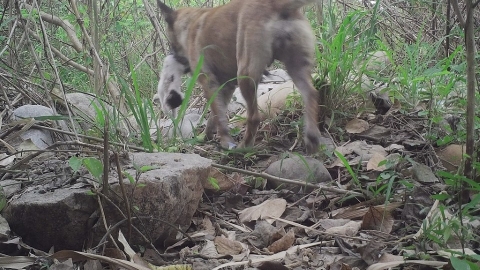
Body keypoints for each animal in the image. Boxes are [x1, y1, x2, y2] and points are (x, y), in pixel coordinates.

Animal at [158, 0, 322, 154]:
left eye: (172, 43)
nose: (174, 57)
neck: (191, 22)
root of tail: (275, 5)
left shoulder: (209, 84)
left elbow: (218, 116)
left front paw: (225, 141)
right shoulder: (226, 87)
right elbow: (215, 117)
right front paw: (204, 136)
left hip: (245, 74)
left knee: (254, 117)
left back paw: (244, 146)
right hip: (296, 67)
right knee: (311, 94)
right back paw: (312, 138)